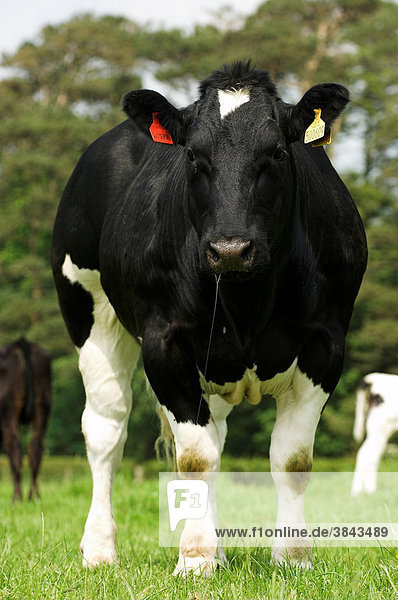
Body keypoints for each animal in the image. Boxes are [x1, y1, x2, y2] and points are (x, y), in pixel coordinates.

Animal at [0, 338, 51, 502]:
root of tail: (21, 342)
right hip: (43, 404)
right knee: (36, 447)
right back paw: (34, 496)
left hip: (8, 407)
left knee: (14, 446)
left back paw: (16, 497)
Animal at [51, 63, 368, 576]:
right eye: (193, 156)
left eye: (277, 152)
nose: (231, 249)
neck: (247, 301)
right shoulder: (165, 347)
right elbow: (197, 459)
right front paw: (195, 559)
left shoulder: (325, 345)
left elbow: (292, 460)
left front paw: (292, 557)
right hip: (89, 313)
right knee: (106, 431)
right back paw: (99, 549)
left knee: (215, 432)